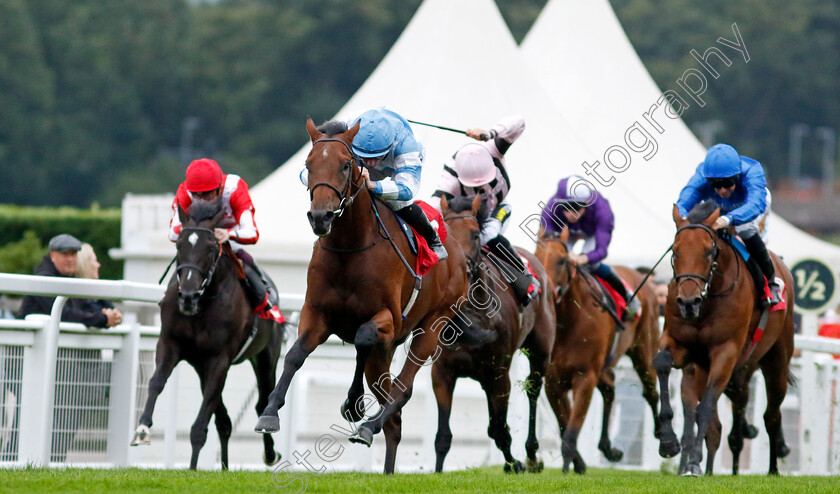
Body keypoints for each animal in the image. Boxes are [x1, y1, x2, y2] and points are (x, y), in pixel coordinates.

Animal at [132, 199, 286, 468]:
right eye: (180, 245)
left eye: (211, 247)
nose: (188, 296)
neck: (202, 305)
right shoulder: (170, 345)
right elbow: (156, 382)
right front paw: (143, 428)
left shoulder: (219, 359)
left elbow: (201, 421)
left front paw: (193, 468)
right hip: (200, 365)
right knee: (223, 420)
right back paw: (224, 467)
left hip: (266, 357)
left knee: (261, 402)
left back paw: (268, 453)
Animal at [253, 118, 472, 474]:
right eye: (308, 165)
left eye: (345, 164)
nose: (321, 217)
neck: (350, 248)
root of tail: (457, 252)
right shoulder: (316, 314)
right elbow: (295, 355)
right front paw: (269, 414)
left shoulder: (388, 319)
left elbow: (363, 336)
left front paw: (354, 405)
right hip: (385, 353)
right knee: (394, 417)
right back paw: (385, 464)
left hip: (433, 325)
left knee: (403, 388)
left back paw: (368, 425)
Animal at [434, 195, 556, 472]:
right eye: (445, 233)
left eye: (475, 234)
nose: (463, 270)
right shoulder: (443, 373)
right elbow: (443, 437)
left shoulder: (499, 374)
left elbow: (500, 430)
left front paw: (515, 464)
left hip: (540, 350)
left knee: (533, 390)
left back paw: (531, 455)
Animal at [536, 229, 660, 474]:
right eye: (535, 255)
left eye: (562, 260)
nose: (546, 291)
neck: (568, 321)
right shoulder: (553, 383)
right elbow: (564, 426)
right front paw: (579, 464)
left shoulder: (585, 377)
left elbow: (571, 433)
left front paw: (567, 469)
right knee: (610, 387)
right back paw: (608, 448)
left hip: (644, 352)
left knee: (651, 391)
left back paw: (668, 440)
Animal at [656, 203, 796, 476]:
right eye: (675, 251)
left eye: (709, 251)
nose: (688, 302)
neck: (707, 302)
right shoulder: (681, 345)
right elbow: (662, 363)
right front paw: (668, 440)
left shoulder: (726, 352)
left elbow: (706, 408)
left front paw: (694, 463)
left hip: (776, 361)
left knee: (772, 416)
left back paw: (773, 469)